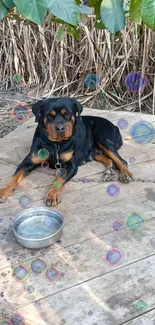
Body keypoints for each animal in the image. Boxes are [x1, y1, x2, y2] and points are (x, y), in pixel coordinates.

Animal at [0, 97, 133, 206]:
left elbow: (59, 179)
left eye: (68, 114)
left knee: (121, 160)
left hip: (103, 138)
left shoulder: (70, 164)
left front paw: (52, 195)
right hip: (94, 151)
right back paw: (109, 172)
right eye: (50, 115)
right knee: (108, 159)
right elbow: (15, 175)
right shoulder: (28, 161)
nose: (60, 128)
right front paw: (4, 190)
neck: (55, 145)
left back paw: (125, 174)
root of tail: (115, 126)